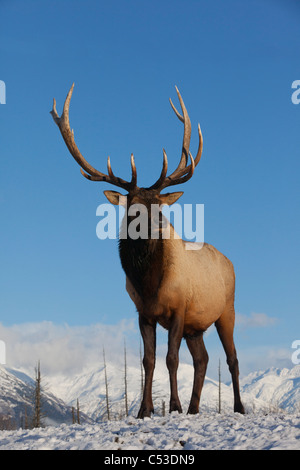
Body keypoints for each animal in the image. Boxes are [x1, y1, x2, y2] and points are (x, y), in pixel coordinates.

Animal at [50, 83, 245, 414]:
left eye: (159, 206)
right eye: (133, 206)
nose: (156, 228)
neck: (149, 283)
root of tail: (230, 262)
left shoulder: (179, 309)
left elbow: (171, 359)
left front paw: (174, 406)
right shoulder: (143, 313)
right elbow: (148, 361)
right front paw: (145, 409)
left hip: (226, 310)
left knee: (232, 359)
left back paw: (238, 407)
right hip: (196, 326)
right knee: (203, 359)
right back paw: (194, 408)